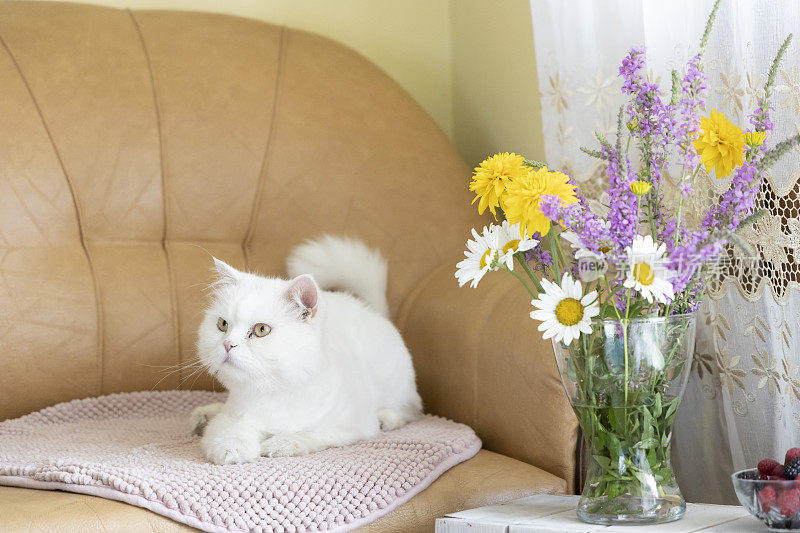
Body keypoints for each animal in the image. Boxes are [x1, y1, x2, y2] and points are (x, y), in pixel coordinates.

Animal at [191, 235, 424, 464]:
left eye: (261, 330)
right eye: (223, 325)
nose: (227, 344)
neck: (275, 391)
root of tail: (372, 310)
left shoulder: (351, 425)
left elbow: (308, 434)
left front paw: (279, 444)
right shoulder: (233, 416)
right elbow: (229, 430)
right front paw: (231, 449)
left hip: (395, 384)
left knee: (411, 409)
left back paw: (387, 418)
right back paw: (204, 416)